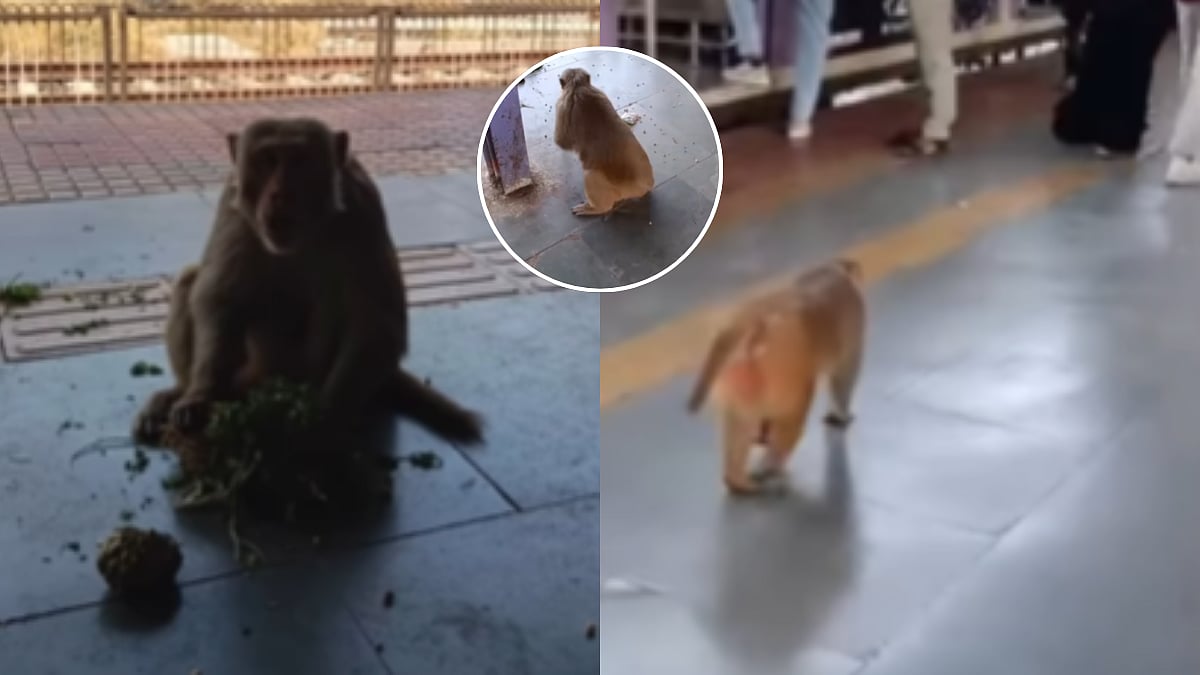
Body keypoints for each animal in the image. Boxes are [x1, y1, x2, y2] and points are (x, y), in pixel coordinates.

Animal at [133, 116, 484, 451]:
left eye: (300, 161)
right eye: (267, 160)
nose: (280, 194)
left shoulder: (362, 206)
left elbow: (375, 323)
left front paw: (321, 422)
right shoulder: (232, 202)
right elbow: (220, 299)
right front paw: (200, 396)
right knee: (190, 280)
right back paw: (179, 392)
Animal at [553, 67, 655, 217]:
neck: (577, 86)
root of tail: (647, 185)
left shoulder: (563, 104)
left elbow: (562, 141)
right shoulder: (601, 94)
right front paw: (626, 118)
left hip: (622, 191)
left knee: (591, 174)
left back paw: (596, 208)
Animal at [685, 258, 866, 495]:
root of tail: (754, 318)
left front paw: (762, 432)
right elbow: (844, 377)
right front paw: (840, 415)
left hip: (739, 371)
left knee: (740, 420)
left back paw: (736, 479)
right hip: (786, 371)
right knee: (793, 413)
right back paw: (770, 464)